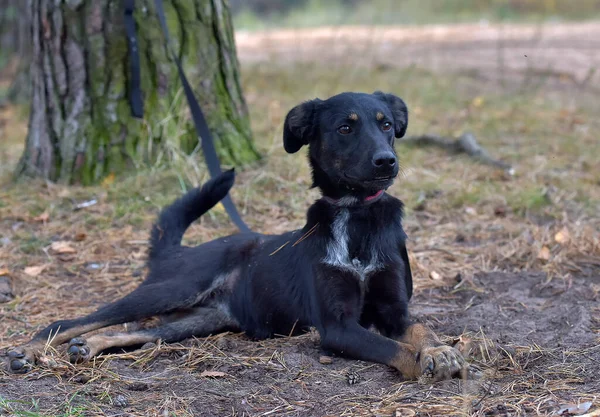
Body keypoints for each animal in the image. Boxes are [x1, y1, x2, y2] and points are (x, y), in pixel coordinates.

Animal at [8, 92, 468, 380]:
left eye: (386, 124)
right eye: (345, 128)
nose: (387, 162)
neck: (357, 217)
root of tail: (179, 251)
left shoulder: (393, 309)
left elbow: (420, 328)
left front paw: (439, 350)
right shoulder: (336, 326)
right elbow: (392, 348)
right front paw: (420, 361)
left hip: (198, 322)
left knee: (134, 332)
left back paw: (88, 346)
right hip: (174, 287)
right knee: (69, 320)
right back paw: (28, 350)